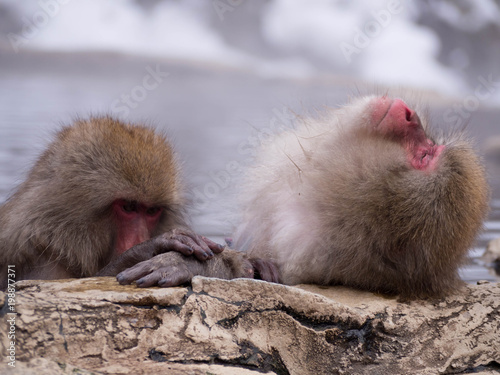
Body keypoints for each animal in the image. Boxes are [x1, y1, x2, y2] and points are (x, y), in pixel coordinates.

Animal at [0, 117, 223, 290]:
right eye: (128, 207)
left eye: (152, 210)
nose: (140, 238)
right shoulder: (43, 260)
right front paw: (150, 248)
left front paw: (184, 263)